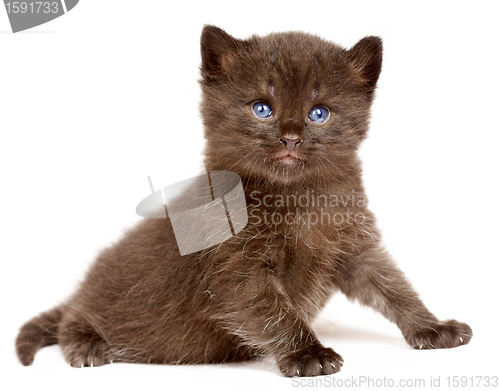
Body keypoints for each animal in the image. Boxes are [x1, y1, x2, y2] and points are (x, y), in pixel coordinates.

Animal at [13, 26, 470, 378]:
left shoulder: (354, 245)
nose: (290, 138)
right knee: (73, 313)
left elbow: (392, 286)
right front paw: (308, 354)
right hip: (98, 295)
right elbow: (273, 309)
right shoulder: (236, 267)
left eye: (319, 112)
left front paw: (432, 327)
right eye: (262, 108)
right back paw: (87, 345)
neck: (299, 197)